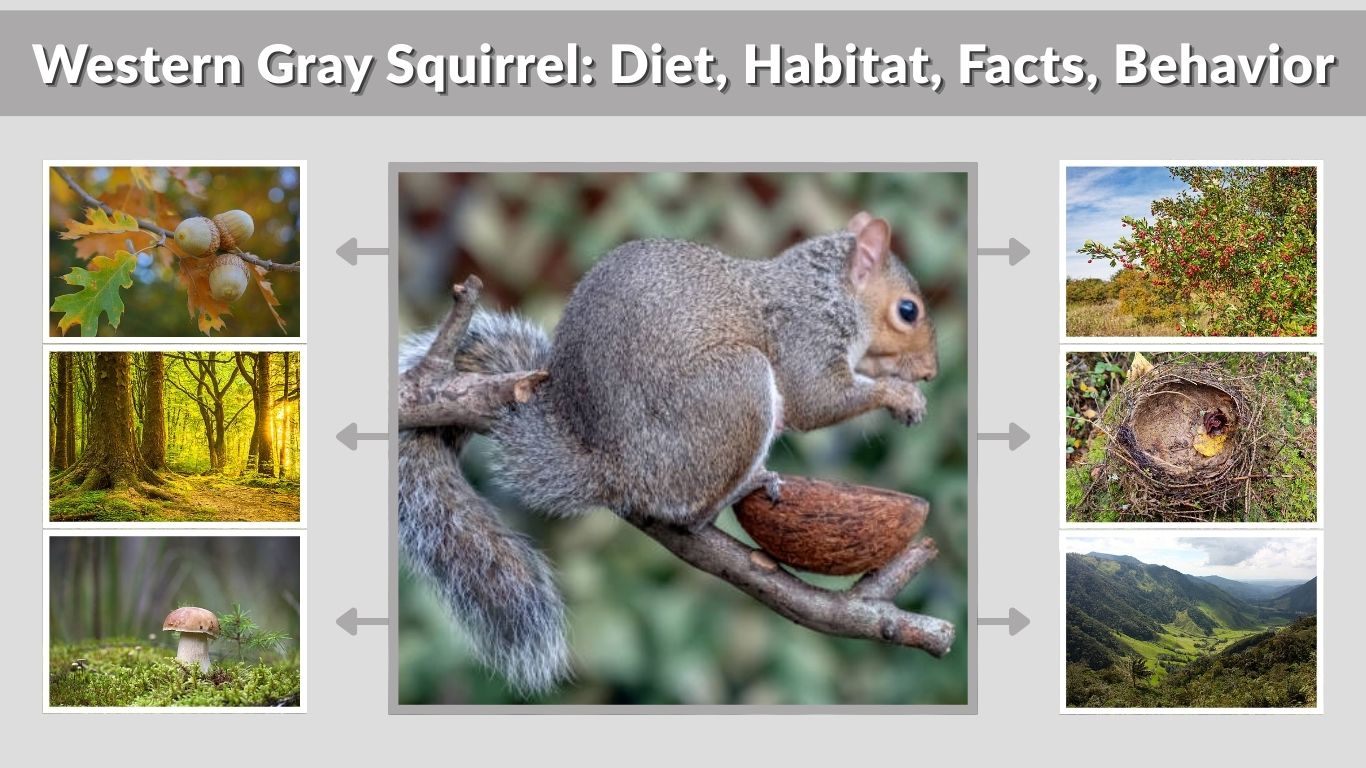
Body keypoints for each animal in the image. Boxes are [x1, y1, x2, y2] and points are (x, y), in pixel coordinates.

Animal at [398, 211, 937, 695]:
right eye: (908, 310)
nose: (931, 370)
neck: (829, 291)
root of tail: (614, 469)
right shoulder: (806, 336)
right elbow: (816, 400)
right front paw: (899, 396)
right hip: (736, 389)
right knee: (690, 514)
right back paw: (742, 486)